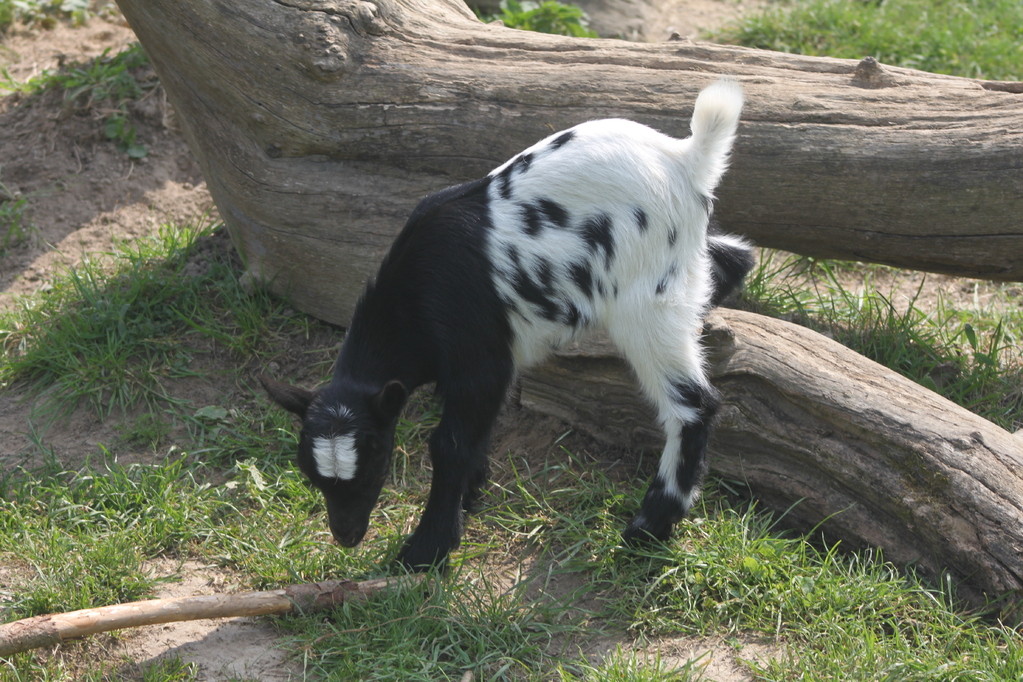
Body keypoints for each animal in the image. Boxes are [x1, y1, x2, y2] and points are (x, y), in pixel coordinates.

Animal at [259, 78, 752, 572]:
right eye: (312, 476)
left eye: (376, 463)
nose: (347, 535)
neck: (414, 298)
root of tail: (685, 157)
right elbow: (473, 434)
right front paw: (469, 498)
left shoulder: (479, 358)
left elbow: (449, 443)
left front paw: (427, 548)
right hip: (680, 261)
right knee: (736, 257)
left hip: (645, 301)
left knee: (693, 405)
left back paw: (649, 527)